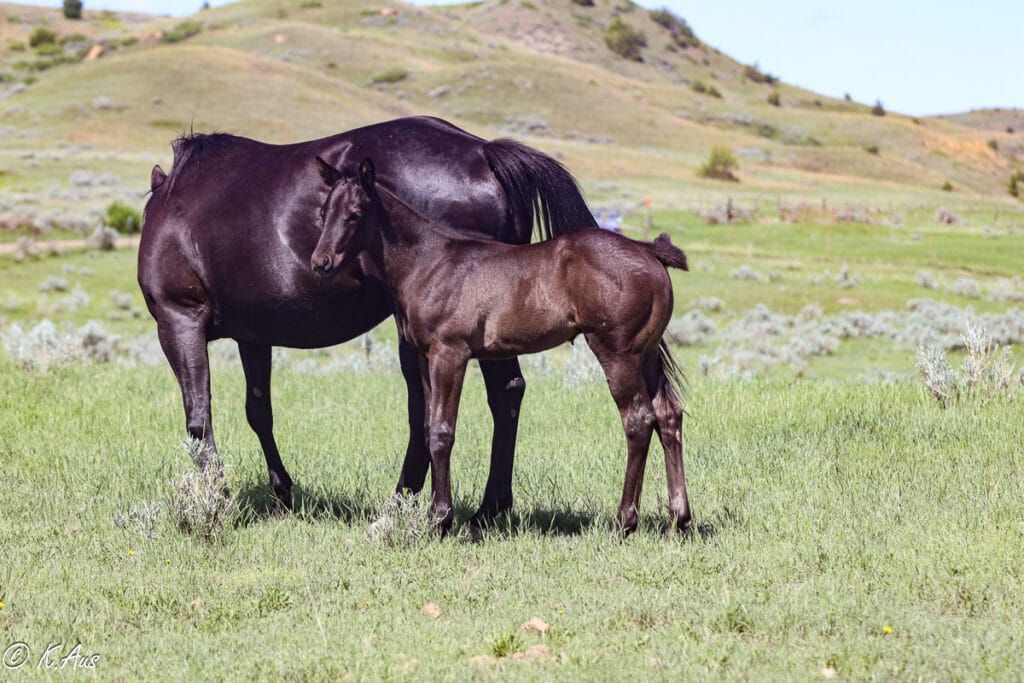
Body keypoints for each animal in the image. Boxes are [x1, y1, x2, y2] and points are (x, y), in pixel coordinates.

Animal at [140, 117, 598, 524]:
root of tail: (483, 152)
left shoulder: (179, 319)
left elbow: (198, 418)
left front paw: (216, 498)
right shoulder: (254, 335)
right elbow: (259, 411)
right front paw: (281, 492)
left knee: (452, 407)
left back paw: (431, 505)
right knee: (504, 393)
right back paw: (482, 507)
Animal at [311, 157, 692, 536]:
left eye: (355, 213)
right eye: (323, 211)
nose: (320, 262)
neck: (429, 262)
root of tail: (648, 250)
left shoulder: (450, 353)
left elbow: (442, 431)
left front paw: (441, 518)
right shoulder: (425, 357)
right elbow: (428, 426)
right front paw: (437, 515)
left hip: (617, 353)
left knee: (638, 419)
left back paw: (624, 521)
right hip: (646, 354)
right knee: (668, 414)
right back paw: (680, 517)